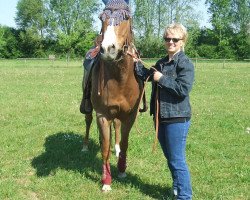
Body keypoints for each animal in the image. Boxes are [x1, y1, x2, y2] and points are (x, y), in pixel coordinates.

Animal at [84, 0, 143, 191]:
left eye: (126, 18)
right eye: (101, 18)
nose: (108, 49)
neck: (120, 79)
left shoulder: (129, 116)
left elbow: (124, 143)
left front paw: (122, 169)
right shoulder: (102, 115)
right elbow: (104, 148)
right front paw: (106, 181)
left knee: (116, 126)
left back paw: (115, 149)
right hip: (89, 108)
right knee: (88, 120)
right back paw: (85, 146)